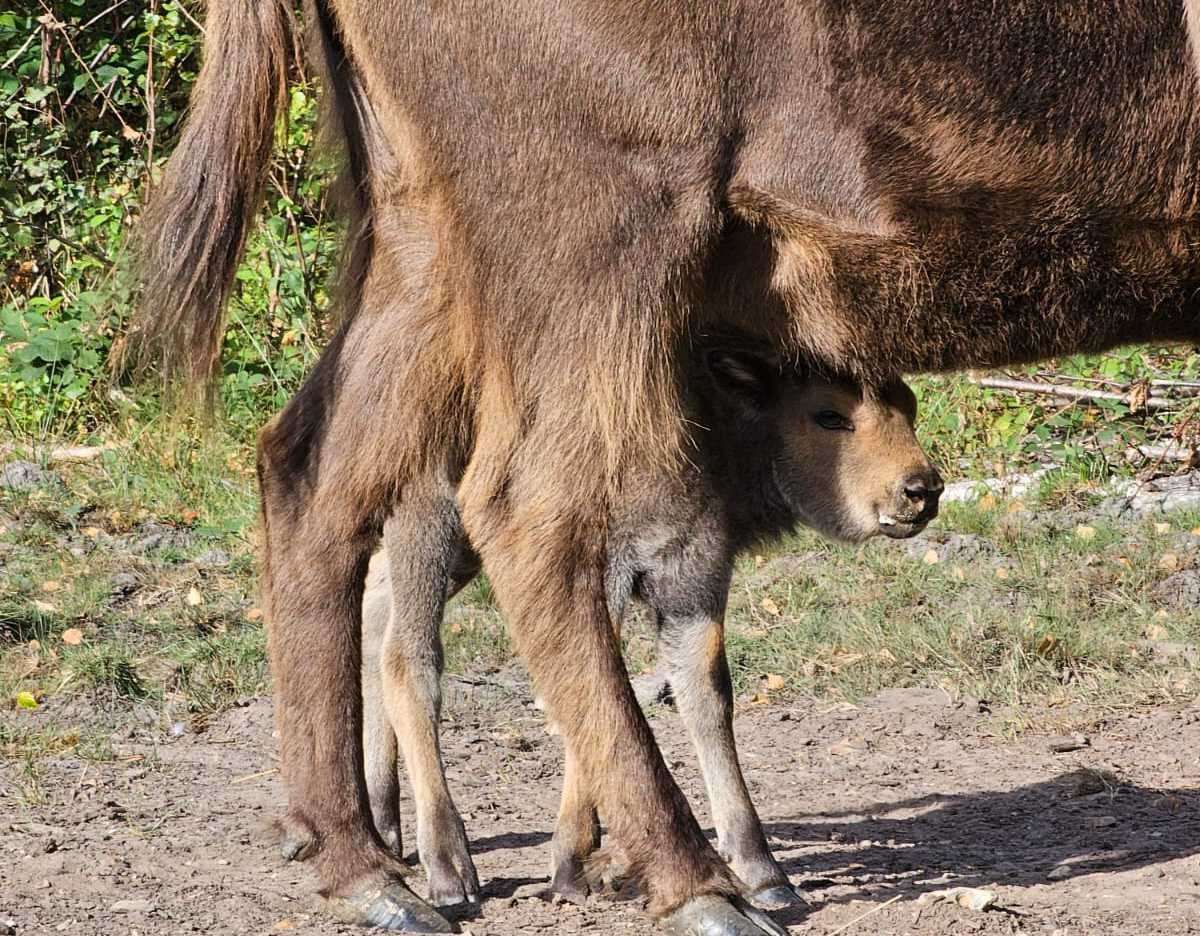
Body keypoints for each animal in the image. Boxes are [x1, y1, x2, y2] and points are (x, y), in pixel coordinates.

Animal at [133, 1, 1200, 936]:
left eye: (907, 404)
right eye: (826, 413)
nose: (920, 490)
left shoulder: (695, 579)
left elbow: (703, 683)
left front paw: (751, 865)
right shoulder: (653, 558)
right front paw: (619, 865)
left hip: (421, 252)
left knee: (311, 483)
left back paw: (372, 868)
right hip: (599, 252)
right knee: (492, 552)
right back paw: (655, 887)